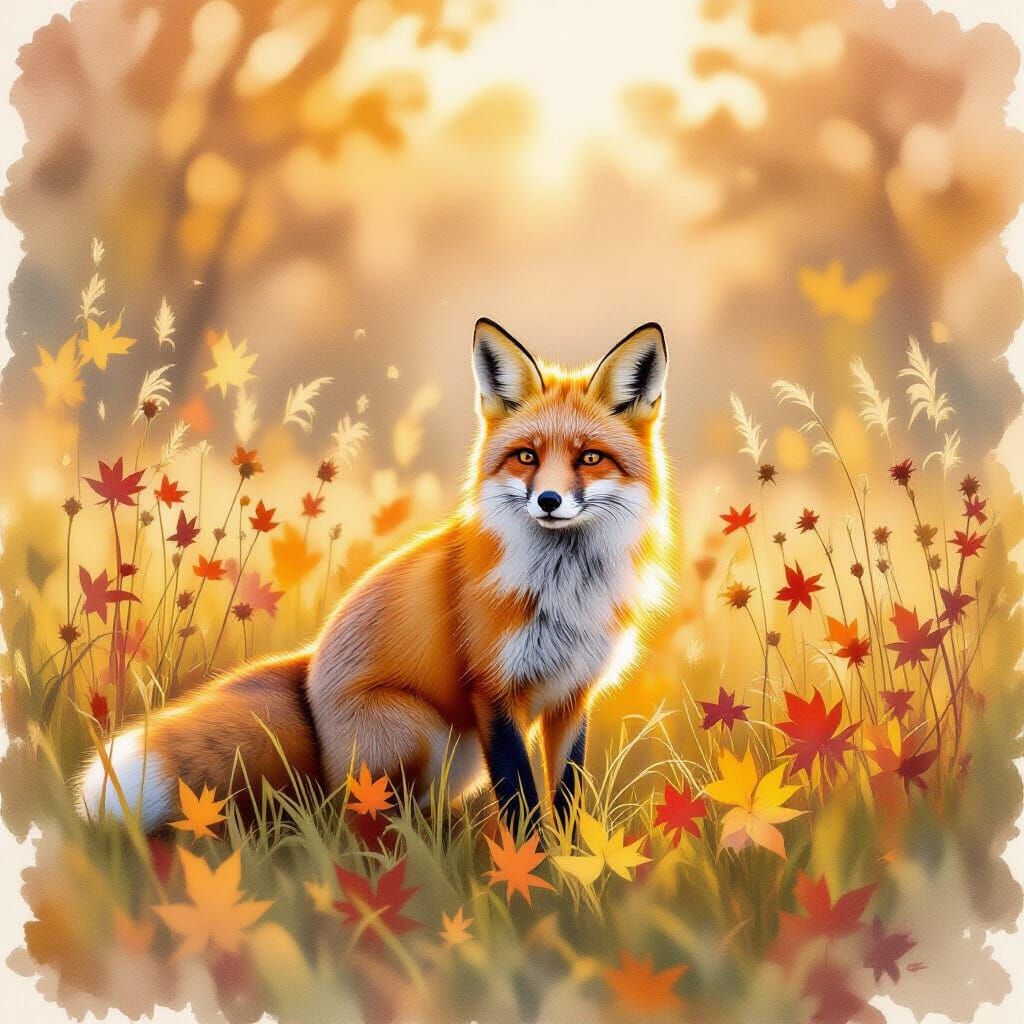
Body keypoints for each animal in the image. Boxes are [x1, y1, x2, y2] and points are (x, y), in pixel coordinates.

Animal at [77, 318, 672, 834]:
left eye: (590, 458)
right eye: (526, 457)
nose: (548, 500)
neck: (565, 591)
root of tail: (310, 668)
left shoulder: (573, 696)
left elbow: (567, 801)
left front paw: (572, 872)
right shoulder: (494, 692)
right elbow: (522, 802)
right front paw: (529, 873)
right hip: (419, 732)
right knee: (356, 818)